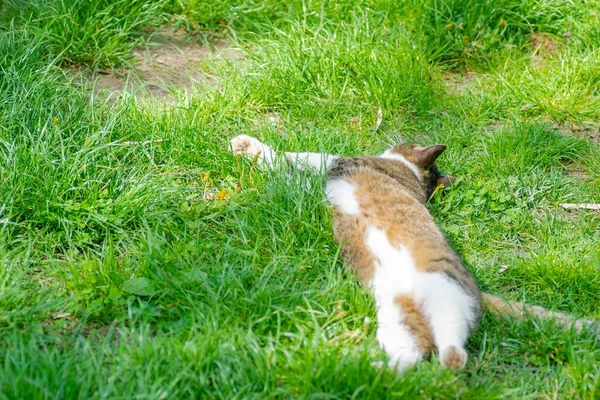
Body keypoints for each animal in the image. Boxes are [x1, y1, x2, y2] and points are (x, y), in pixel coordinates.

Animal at [229, 134, 596, 372]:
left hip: (445, 292)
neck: (410, 174)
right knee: (412, 353)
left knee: (453, 350)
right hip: (397, 320)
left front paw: (245, 145)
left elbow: (298, 156)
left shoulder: (338, 163)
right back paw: (363, 368)